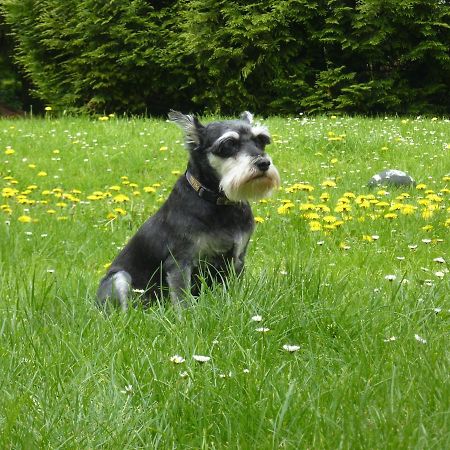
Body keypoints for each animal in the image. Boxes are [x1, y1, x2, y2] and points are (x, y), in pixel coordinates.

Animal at [97, 110, 282, 312]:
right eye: (228, 144)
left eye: (262, 140)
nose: (263, 163)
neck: (218, 202)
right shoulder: (180, 263)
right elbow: (182, 299)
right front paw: (187, 317)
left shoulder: (237, 258)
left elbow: (234, 289)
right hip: (119, 279)